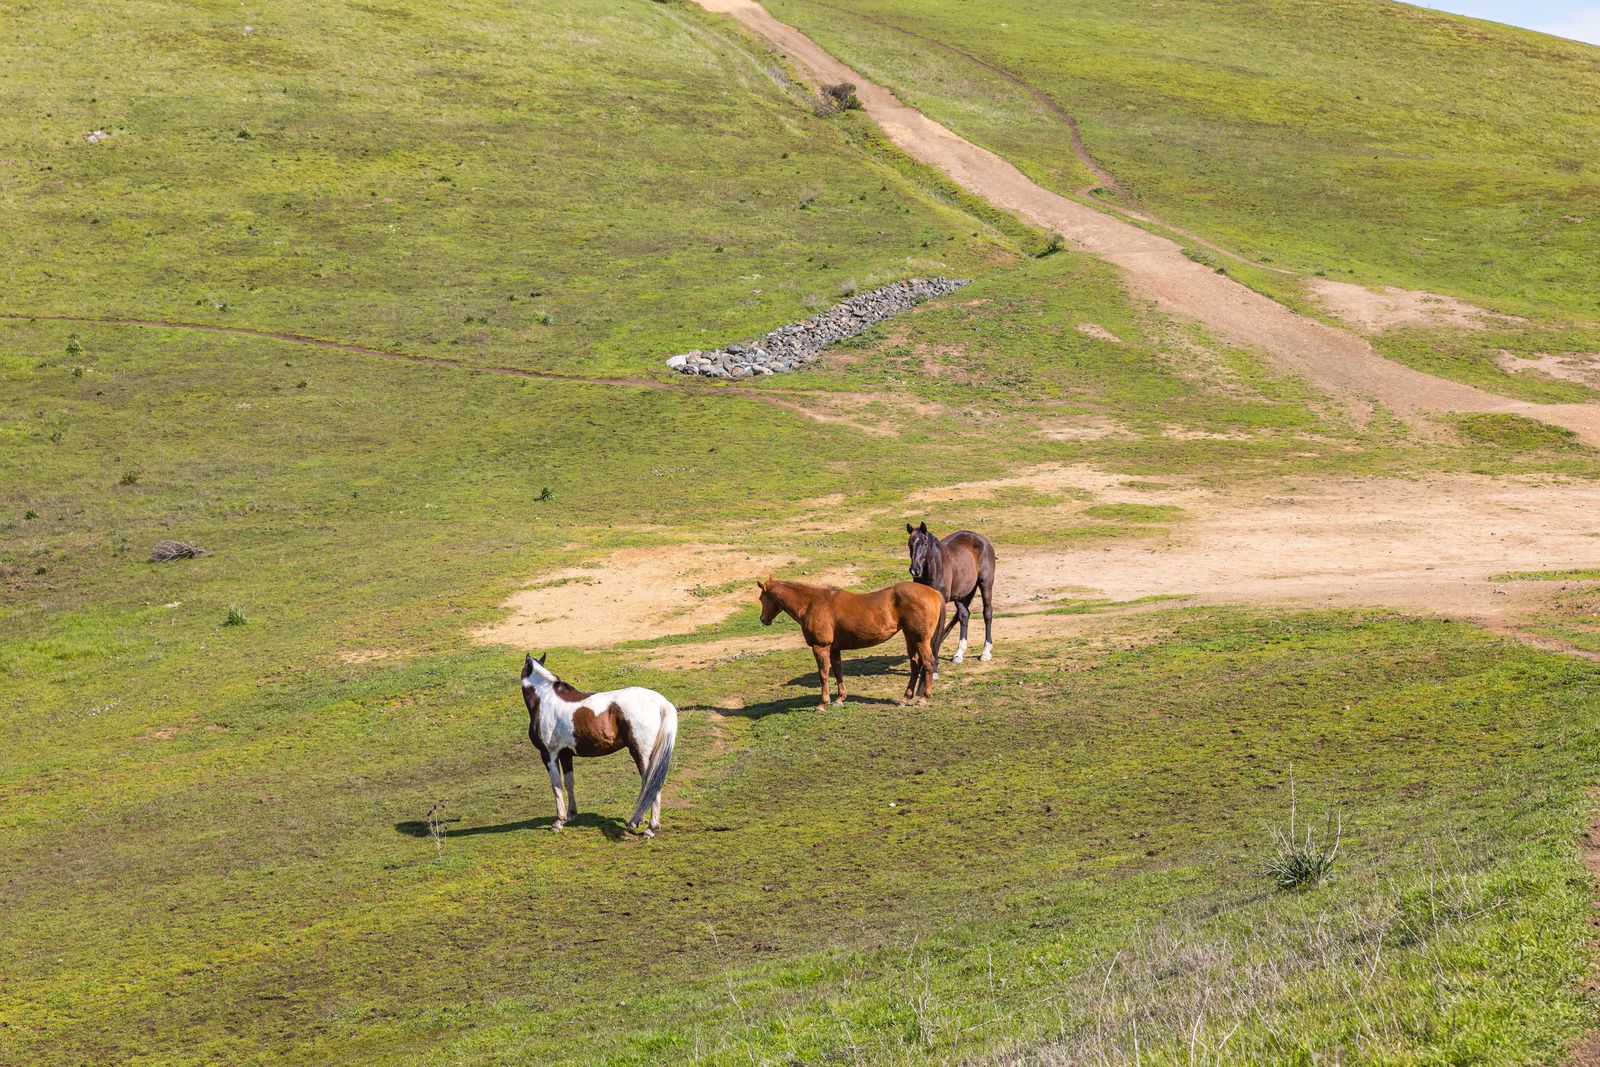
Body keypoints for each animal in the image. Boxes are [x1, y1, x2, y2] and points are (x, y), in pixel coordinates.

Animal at [519, 653, 678, 837]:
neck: (545, 699)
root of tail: (661, 702)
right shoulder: (565, 754)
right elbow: (569, 782)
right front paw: (571, 815)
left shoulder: (549, 754)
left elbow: (556, 785)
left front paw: (559, 821)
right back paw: (637, 821)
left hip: (641, 754)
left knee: (652, 785)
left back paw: (650, 828)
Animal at [756, 577, 944, 711]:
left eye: (761, 598)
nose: (763, 619)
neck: (811, 603)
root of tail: (933, 592)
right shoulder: (834, 649)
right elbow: (838, 671)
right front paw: (840, 699)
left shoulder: (820, 647)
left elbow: (823, 675)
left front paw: (823, 703)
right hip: (910, 638)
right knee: (915, 665)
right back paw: (905, 698)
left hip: (920, 640)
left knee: (928, 663)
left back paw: (923, 698)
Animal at [905, 522, 996, 676]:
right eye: (910, 543)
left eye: (924, 543)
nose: (915, 570)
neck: (933, 569)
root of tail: (982, 540)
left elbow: (937, 634)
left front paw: (934, 668)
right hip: (960, 594)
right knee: (964, 615)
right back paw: (959, 654)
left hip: (985, 584)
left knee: (987, 613)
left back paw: (986, 652)